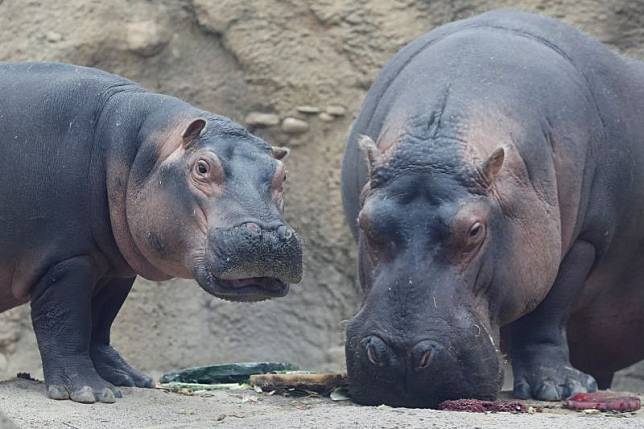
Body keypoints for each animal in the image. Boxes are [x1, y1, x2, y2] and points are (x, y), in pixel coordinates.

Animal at [0, 61, 302, 402]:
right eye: (202, 167)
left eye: (283, 174)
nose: (268, 237)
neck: (134, 151)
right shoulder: (67, 259)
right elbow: (66, 322)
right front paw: (90, 392)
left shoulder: (114, 266)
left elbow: (100, 323)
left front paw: (130, 379)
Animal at [342, 9, 644, 404]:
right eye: (366, 223)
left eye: (474, 230)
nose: (400, 355)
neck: (437, 142)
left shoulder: (585, 241)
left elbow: (547, 313)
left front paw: (559, 389)